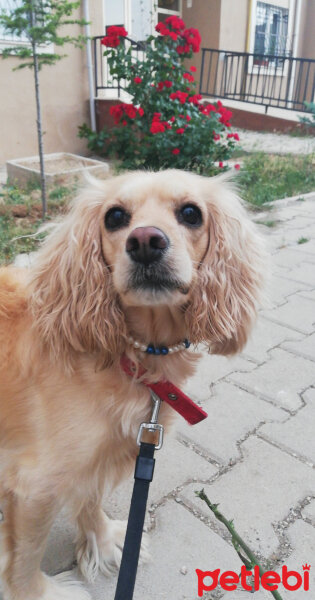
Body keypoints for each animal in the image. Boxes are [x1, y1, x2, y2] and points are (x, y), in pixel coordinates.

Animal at [0, 170, 266, 600]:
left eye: (191, 213)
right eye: (114, 217)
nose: (144, 241)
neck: (137, 358)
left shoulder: (99, 455)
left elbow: (90, 497)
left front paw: (105, 540)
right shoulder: (34, 485)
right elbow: (26, 556)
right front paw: (36, 594)